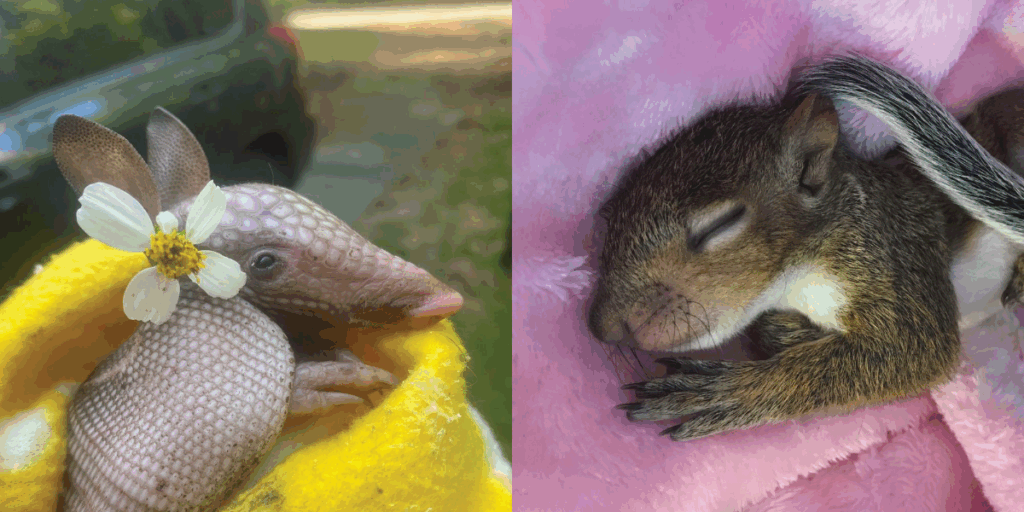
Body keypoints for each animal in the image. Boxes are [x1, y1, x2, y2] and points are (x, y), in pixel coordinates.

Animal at [588, 55, 1024, 441]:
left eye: (719, 224)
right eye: (612, 218)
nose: (601, 326)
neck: (796, 281)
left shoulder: (895, 254)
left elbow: (911, 348)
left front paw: (726, 392)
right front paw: (786, 332)